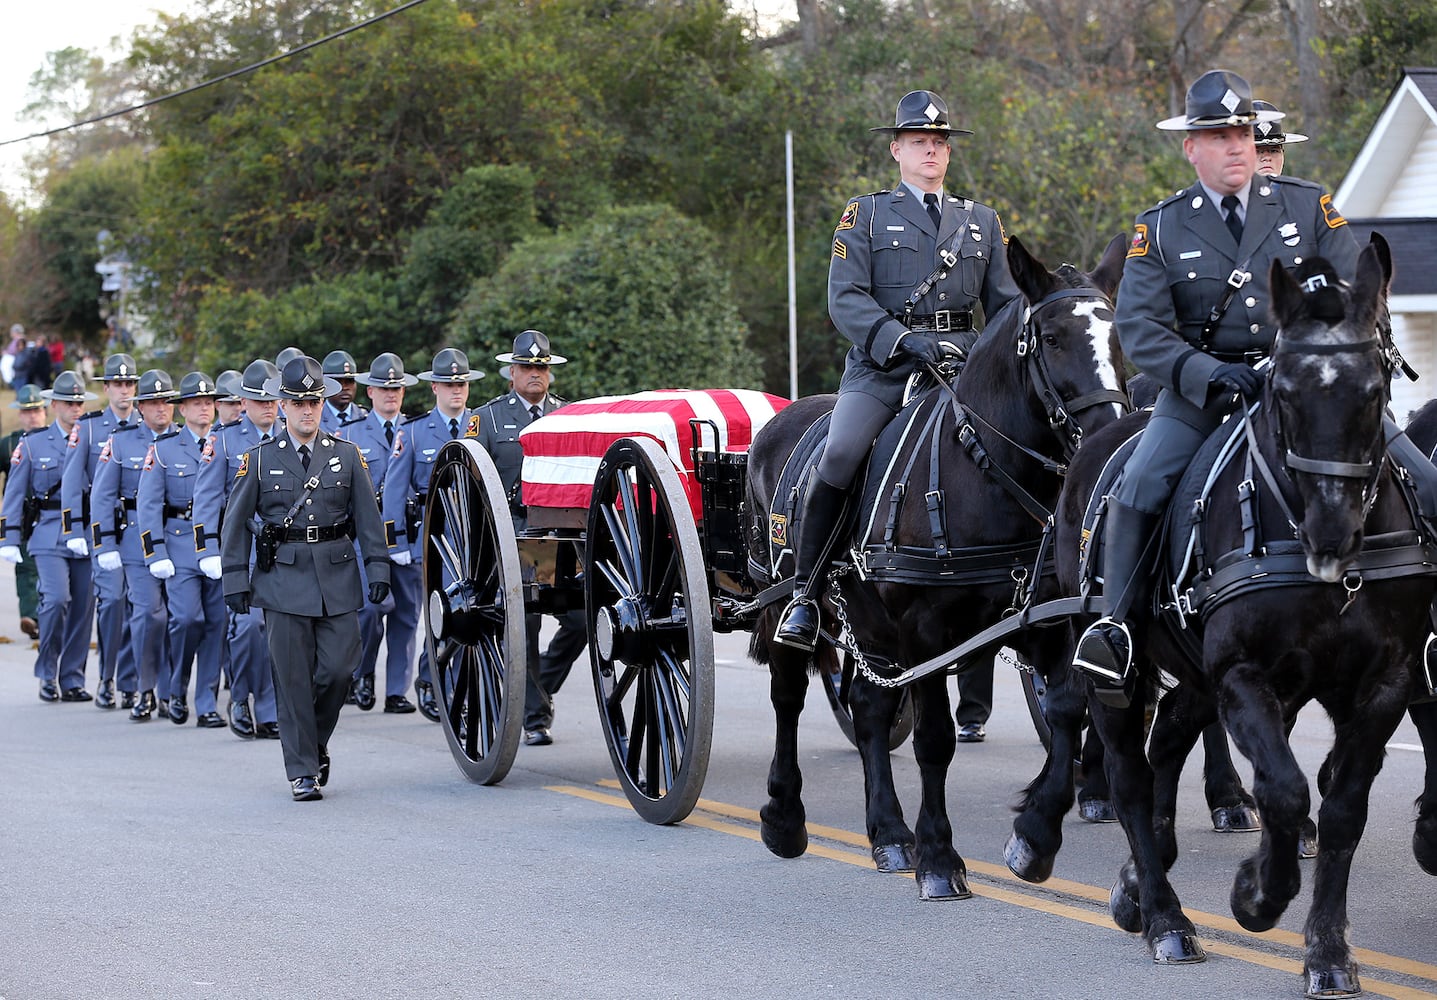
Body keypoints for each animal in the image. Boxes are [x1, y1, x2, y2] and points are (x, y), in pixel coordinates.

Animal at [747, 232, 1126, 896]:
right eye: (1053, 338)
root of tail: (778, 423)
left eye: (1115, 336)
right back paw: (784, 817)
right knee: (789, 695)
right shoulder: (927, 636)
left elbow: (1066, 713)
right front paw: (941, 857)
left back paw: (888, 833)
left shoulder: (1049, 625)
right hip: (795, 602)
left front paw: (1033, 836)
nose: (1110, 434)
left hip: (869, 627)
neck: (984, 473)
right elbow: (934, 739)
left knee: (869, 710)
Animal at [1034, 238, 1425, 994]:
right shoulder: (1244, 677)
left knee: (1167, 742)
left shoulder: (1383, 687)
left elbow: (1340, 809)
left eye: (1373, 388)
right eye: (1284, 392)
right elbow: (1284, 791)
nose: (1330, 532)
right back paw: (1163, 916)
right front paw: (1256, 894)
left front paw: (1327, 952)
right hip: (1117, 671)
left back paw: (1138, 884)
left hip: (1192, 674)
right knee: (1127, 773)